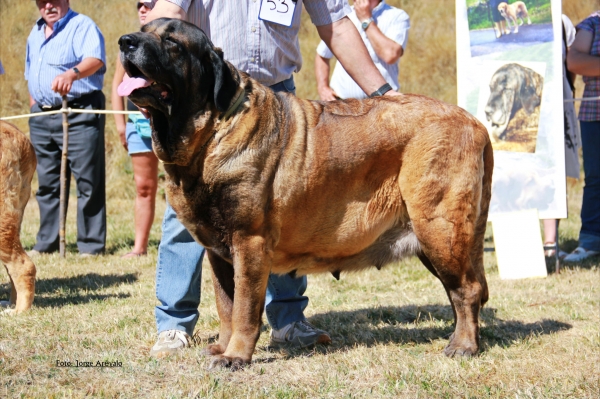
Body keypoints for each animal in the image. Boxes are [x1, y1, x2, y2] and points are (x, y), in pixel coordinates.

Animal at [119, 18, 494, 368]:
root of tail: (474, 122)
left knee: (466, 289)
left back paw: (463, 345)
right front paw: (222, 347)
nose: (125, 41)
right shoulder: (218, 253)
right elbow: (227, 305)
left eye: (171, 41)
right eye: (143, 29)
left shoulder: (249, 242)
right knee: (460, 290)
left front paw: (235, 356)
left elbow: (244, 308)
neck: (211, 133)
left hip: (439, 229)